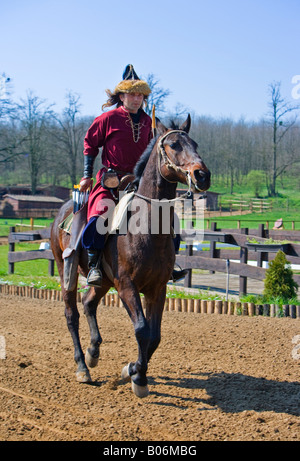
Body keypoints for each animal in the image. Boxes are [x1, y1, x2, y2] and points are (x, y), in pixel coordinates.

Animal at [50, 114, 210, 396]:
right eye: (174, 145)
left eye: (195, 144)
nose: (202, 175)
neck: (146, 229)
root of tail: (63, 212)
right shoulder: (127, 286)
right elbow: (142, 330)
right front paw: (138, 378)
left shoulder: (157, 288)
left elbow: (154, 336)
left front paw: (133, 370)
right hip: (65, 271)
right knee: (72, 315)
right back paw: (82, 366)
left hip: (102, 281)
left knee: (89, 303)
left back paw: (93, 352)